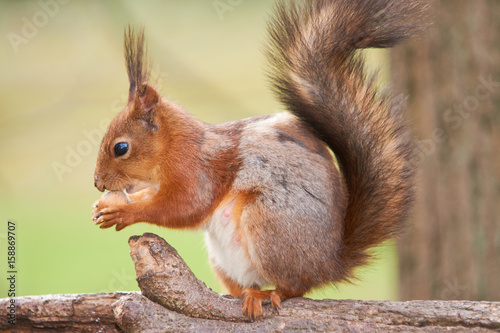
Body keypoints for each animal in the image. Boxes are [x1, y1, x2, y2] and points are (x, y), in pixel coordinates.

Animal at [91, 0, 426, 318]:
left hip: (267, 224)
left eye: (121, 148)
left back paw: (266, 295)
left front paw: (124, 212)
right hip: (224, 259)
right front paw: (106, 206)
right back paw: (242, 293)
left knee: (295, 287)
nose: (97, 183)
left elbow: (183, 207)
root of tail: (330, 262)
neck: (175, 145)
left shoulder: (197, 171)